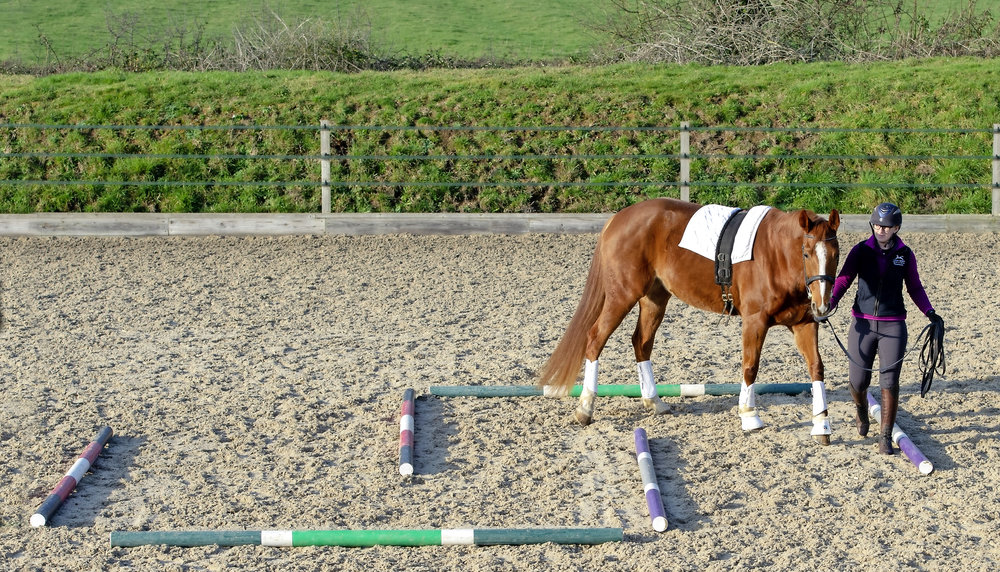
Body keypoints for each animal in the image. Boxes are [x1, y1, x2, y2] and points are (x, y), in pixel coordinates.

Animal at [538, 198, 841, 445]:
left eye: (836, 255)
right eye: (806, 253)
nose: (824, 305)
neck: (777, 257)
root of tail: (619, 217)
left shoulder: (805, 324)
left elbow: (817, 368)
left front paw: (822, 425)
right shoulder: (755, 321)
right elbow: (751, 366)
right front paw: (749, 416)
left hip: (654, 299)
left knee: (641, 343)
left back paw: (654, 402)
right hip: (622, 295)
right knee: (595, 338)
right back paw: (585, 409)